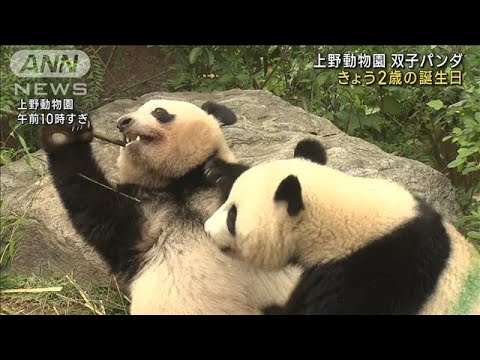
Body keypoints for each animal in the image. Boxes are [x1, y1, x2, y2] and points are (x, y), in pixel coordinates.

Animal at [40, 100, 300, 314]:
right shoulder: (142, 216)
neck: (178, 185)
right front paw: (64, 130)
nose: (122, 122)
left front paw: (222, 172)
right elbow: (94, 205)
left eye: (159, 111)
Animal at [202, 139, 480, 316]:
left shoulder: (375, 279)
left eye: (232, 218)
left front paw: (271, 309)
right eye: (228, 203)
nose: (206, 229)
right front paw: (217, 171)